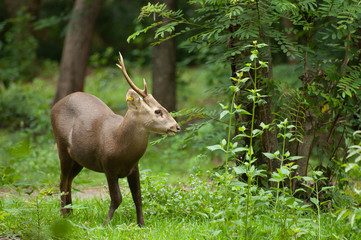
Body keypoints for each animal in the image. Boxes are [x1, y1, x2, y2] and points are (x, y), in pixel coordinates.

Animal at [50, 53, 179, 227]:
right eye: (158, 111)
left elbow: (137, 196)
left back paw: (70, 212)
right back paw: (64, 215)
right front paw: (105, 224)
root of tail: (54, 107)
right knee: (62, 181)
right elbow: (117, 198)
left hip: (78, 159)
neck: (119, 144)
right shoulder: (108, 165)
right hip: (62, 148)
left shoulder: (134, 167)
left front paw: (141, 225)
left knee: (69, 180)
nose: (176, 127)